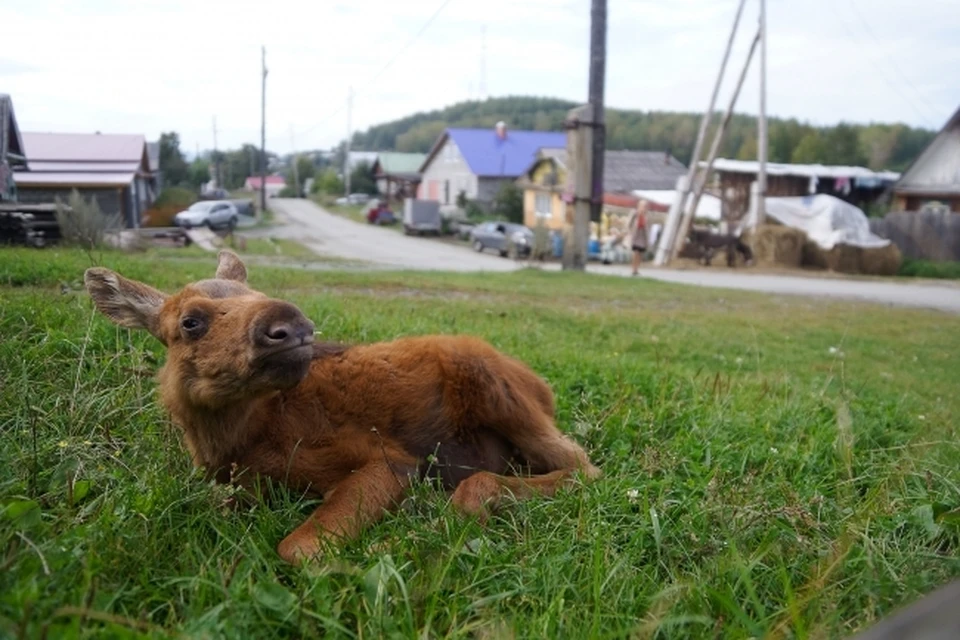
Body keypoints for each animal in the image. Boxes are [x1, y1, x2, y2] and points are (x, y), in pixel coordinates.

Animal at [90, 252, 600, 564]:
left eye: (260, 296)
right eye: (189, 322)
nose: (292, 324)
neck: (243, 442)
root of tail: (544, 387)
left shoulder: (388, 460)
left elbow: (298, 548)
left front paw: (383, 552)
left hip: (495, 387)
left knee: (583, 469)